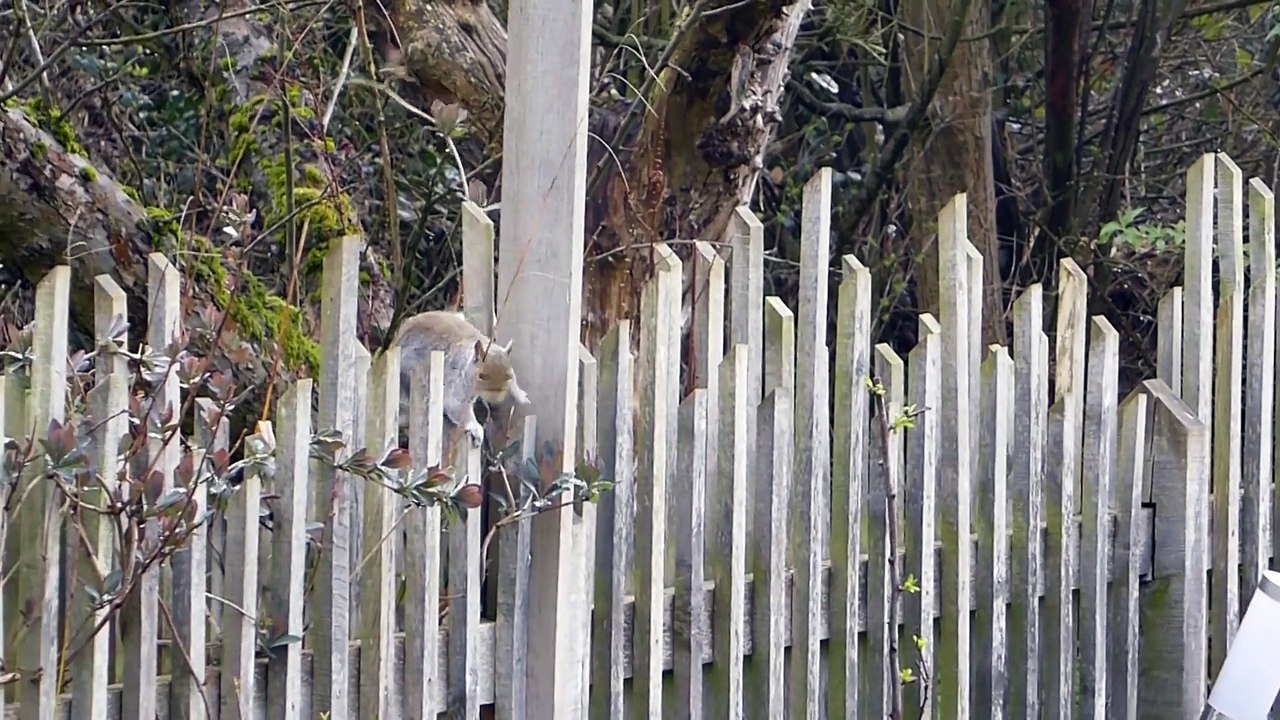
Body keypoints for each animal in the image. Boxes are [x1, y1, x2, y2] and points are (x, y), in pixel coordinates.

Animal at [393, 310, 530, 446]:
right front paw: (475, 428)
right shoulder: (454, 381)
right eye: (482, 376)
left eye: (509, 376)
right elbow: (457, 407)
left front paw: (521, 397)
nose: (496, 398)